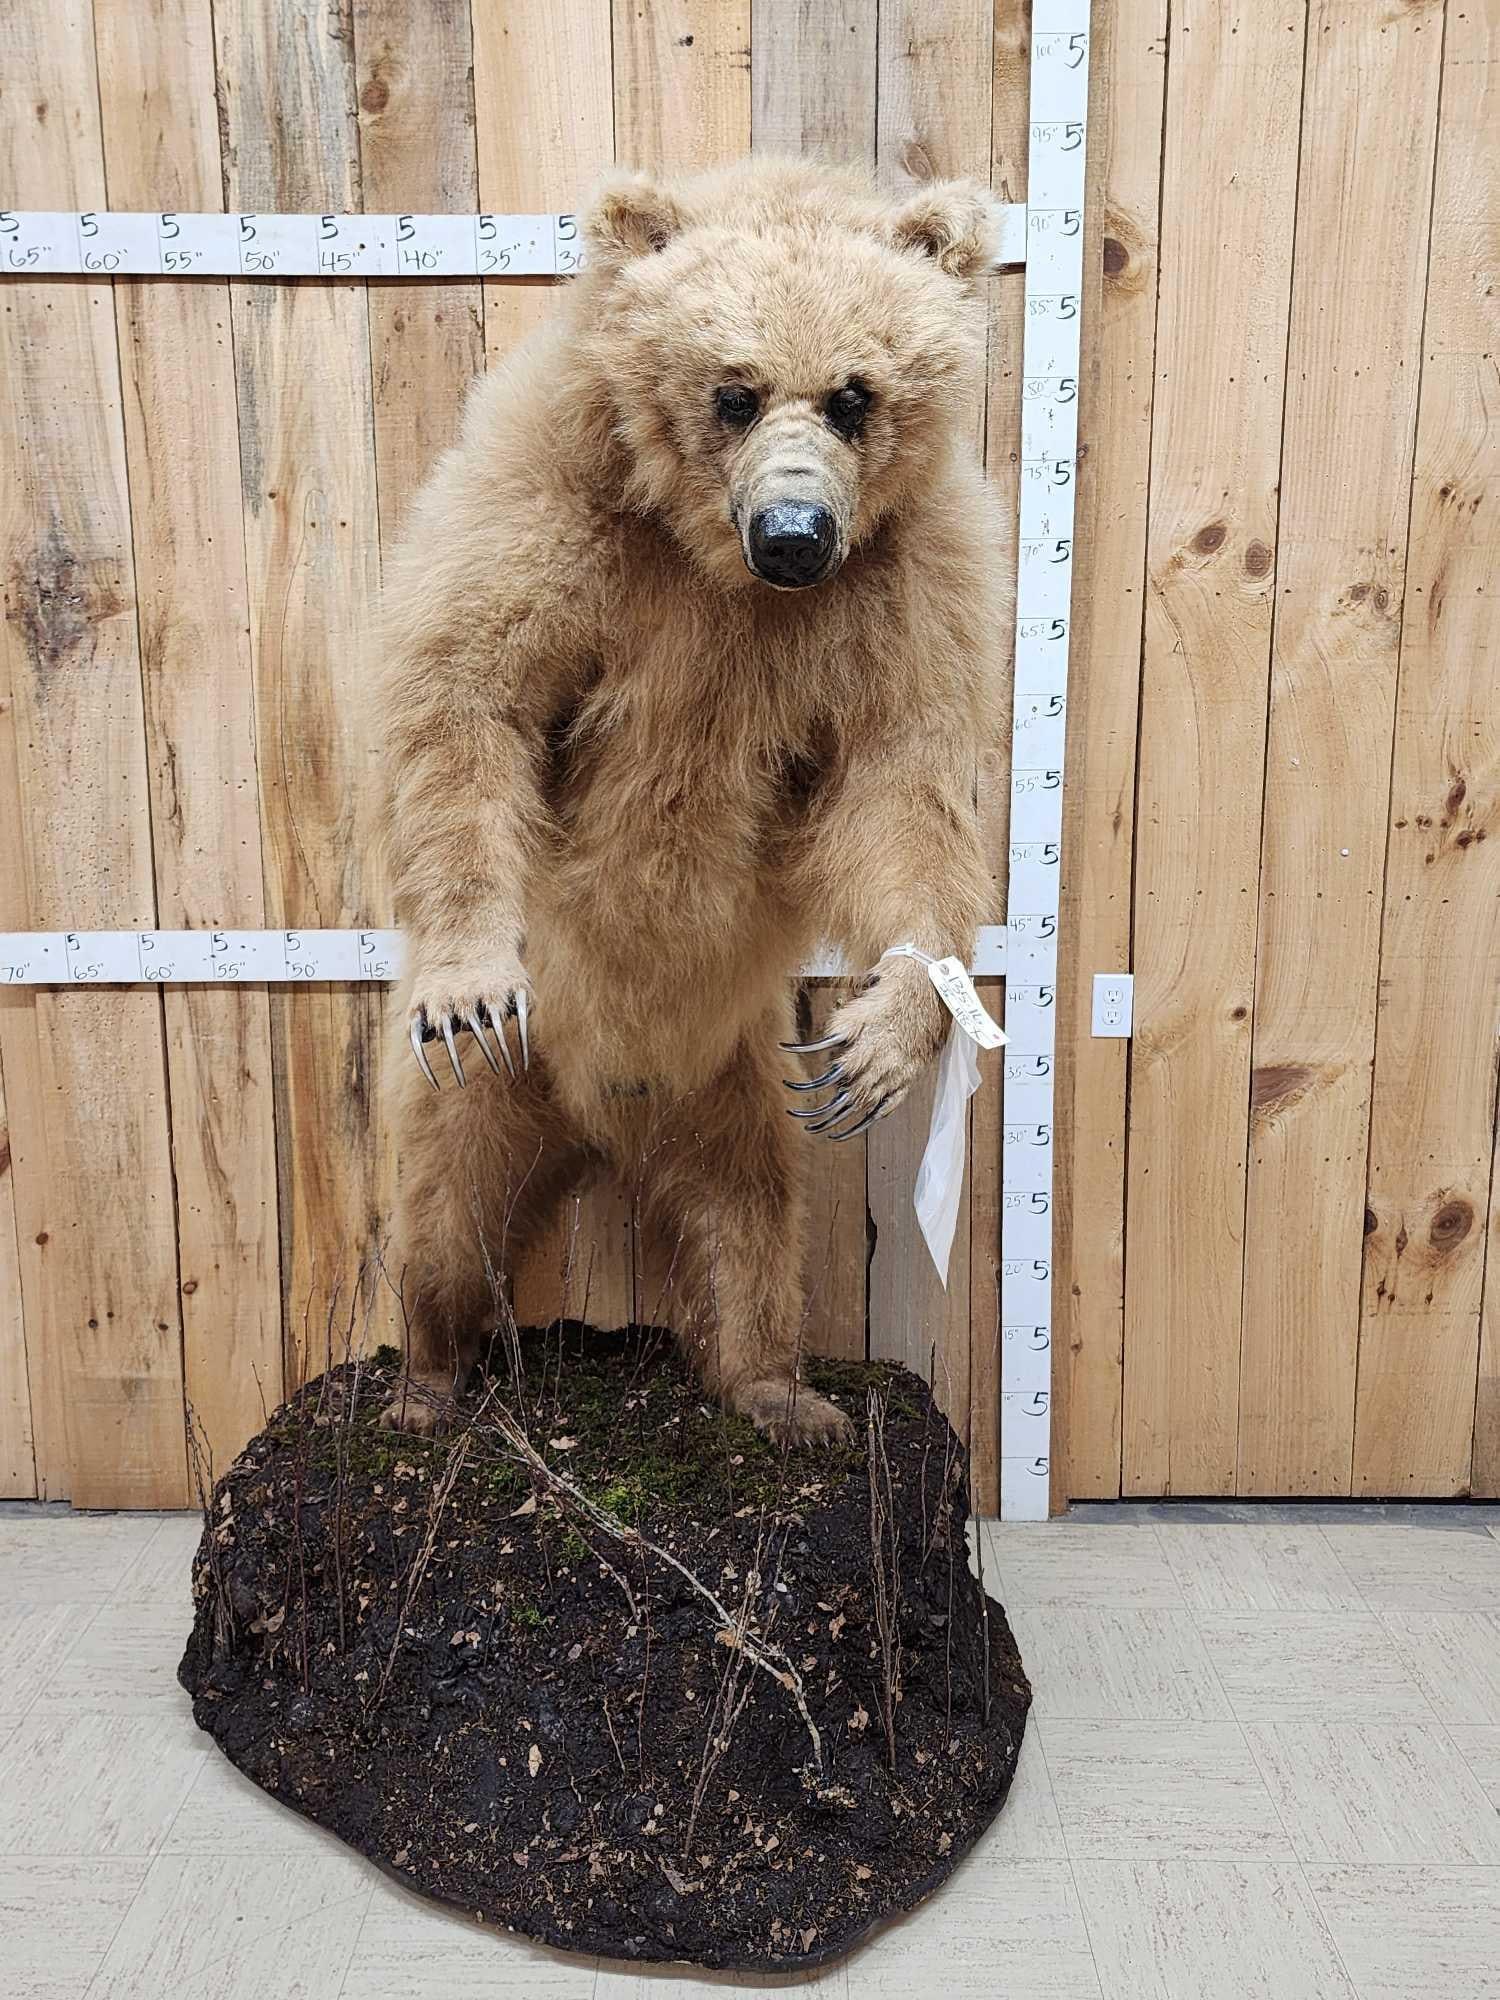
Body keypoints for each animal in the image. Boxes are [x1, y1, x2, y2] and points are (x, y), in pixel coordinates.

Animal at [376, 156, 1010, 1443]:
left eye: (854, 393)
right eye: (735, 390)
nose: (796, 533)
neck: (715, 568)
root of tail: (607, 1115)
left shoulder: (905, 600)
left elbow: (902, 791)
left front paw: (892, 1024)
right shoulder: (557, 523)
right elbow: (471, 697)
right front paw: (468, 975)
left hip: (738, 1082)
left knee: (751, 1229)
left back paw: (786, 1392)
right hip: (499, 1086)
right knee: (443, 1215)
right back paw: (421, 1384)